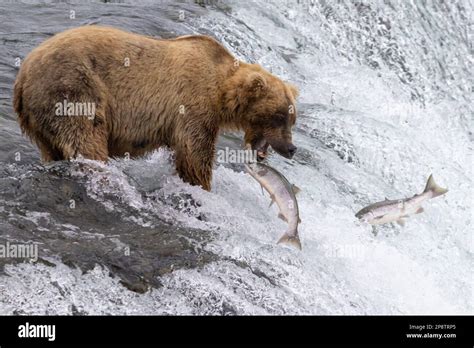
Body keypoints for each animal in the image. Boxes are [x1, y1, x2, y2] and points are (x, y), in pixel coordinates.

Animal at [12, 25, 298, 190]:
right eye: (279, 116)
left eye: (292, 119)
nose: (291, 148)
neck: (222, 91)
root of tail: (23, 75)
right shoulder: (192, 102)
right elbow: (195, 152)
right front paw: (201, 184)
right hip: (73, 89)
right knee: (86, 138)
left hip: (41, 118)